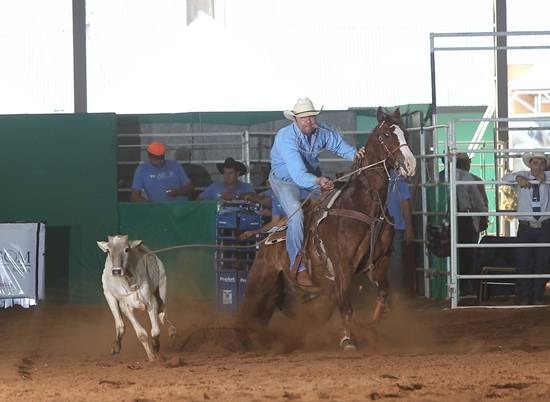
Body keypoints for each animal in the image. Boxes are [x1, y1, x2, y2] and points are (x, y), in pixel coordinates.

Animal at [239, 107, 416, 352]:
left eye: (406, 133)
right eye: (387, 135)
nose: (410, 164)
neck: (364, 206)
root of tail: (268, 239)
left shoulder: (380, 262)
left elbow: (383, 294)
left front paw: (371, 328)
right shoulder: (343, 265)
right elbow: (347, 306)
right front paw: (348, 340)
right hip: (261, 280)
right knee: (248, 314)